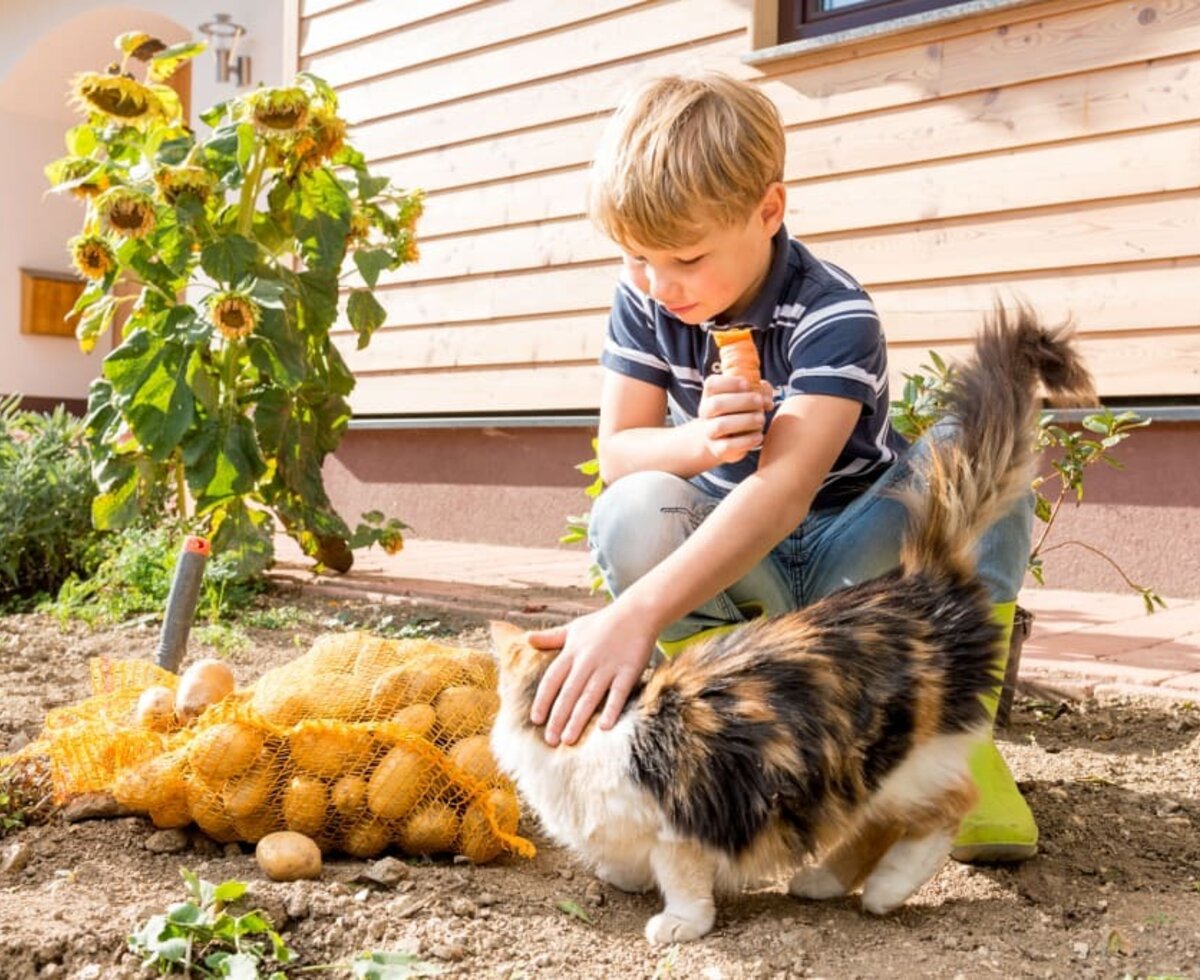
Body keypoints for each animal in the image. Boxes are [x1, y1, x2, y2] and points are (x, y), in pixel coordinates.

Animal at [487, 309, 1099, 945]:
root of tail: (919, 582)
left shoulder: (681, 822)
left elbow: (681, 879)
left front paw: (678, 923)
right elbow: (622, 861)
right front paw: (623, 878)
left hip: (894, 764)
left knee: (946, 806)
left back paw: (886, 889)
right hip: (858, 781)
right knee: (876, 826)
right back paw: (823, 881)